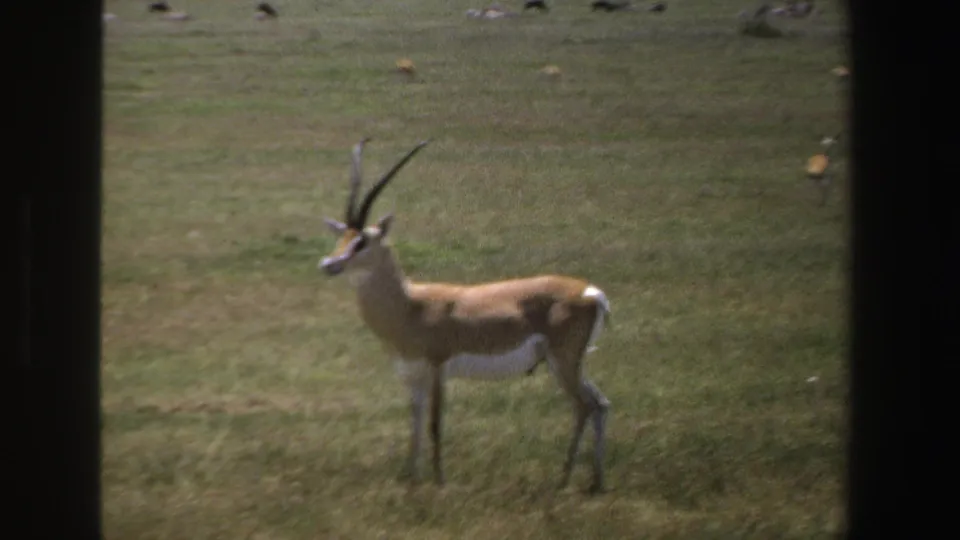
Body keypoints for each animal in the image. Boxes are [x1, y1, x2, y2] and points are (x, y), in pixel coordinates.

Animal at [318, 139, 613, 493]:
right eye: (342, 238)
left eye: (362, 241)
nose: (328, 264)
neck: (411, 306)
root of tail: (591, 292)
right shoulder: (412, 376)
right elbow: (414, 423)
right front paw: (411, 478)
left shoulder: (437, 369)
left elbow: (434, 423)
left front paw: (439, 481)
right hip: (568, 364)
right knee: (600, 404)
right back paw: (595, 481)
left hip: (564, 361)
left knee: (585, 406)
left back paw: (565, 478)